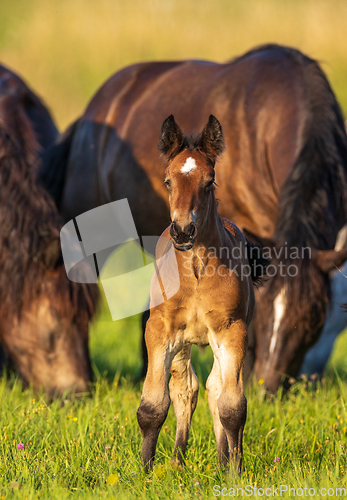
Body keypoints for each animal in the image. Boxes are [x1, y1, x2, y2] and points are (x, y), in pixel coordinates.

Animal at [137, 115, 270, 470]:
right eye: (168, 181)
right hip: (183, 344)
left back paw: (222, 459)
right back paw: (176, 461)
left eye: (209, 182)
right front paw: (144, 470)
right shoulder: (160, 331)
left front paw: (233, 471)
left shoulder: (231, 331)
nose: (183, 231)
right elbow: (152, 407)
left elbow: (232, 407)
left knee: (214, 389)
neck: (195, 274)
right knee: (186, 388)